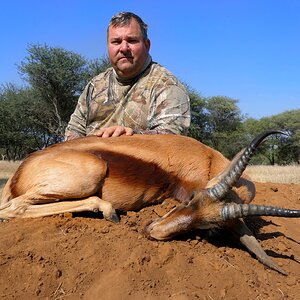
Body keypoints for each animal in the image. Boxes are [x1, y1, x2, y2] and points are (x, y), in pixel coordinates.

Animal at [0, 130, 300, 274]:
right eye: (191, 198)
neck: (206, 160)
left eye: (209, 229)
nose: (151, 231)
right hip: (89, 174)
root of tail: (18, 172)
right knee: (13, 208)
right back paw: (109, 213)